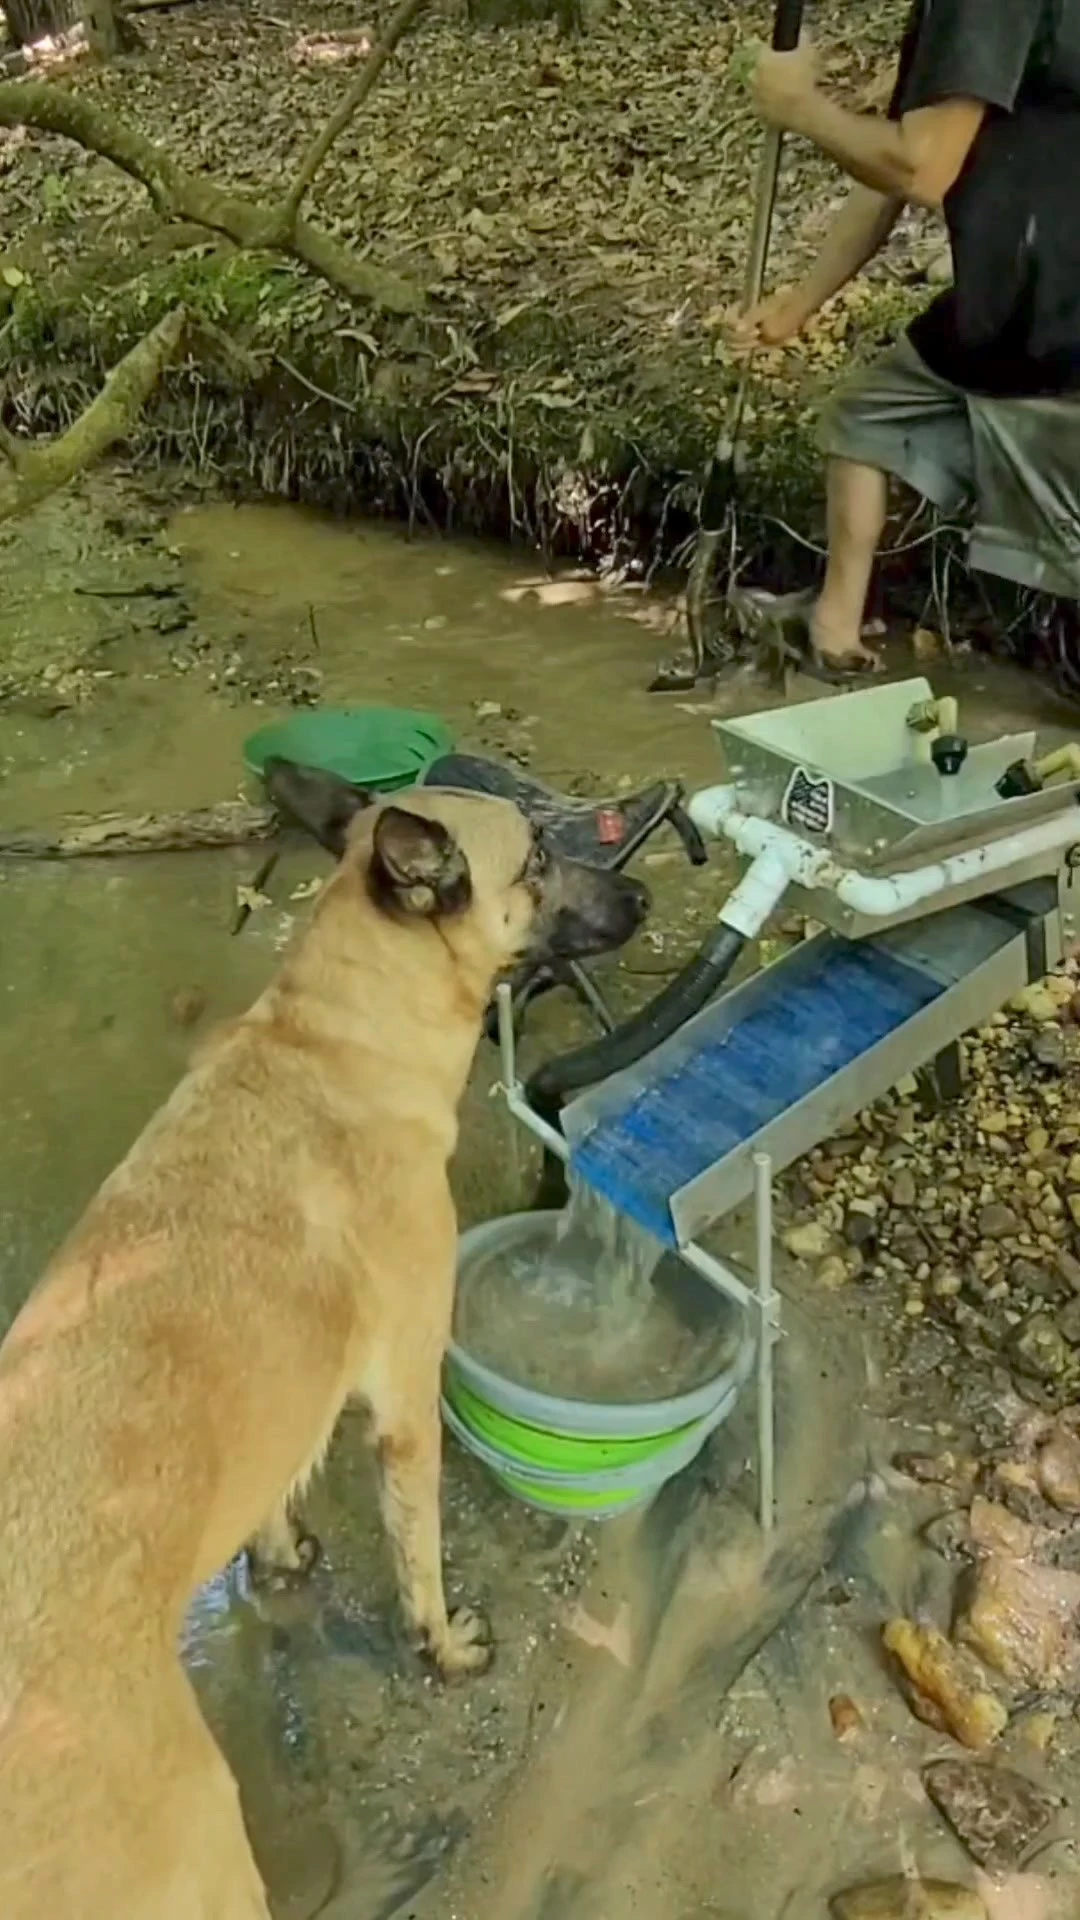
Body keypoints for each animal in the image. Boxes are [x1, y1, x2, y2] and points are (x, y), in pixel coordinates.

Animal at [0, 764, 641, 1920]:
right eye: (535, 856)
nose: (644, 898)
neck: (334, 1040)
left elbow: (272, 1493)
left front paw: (282, 1554)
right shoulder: (406, 1407)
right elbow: (418, 1557)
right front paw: (443, 1648)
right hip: (204, 1853)